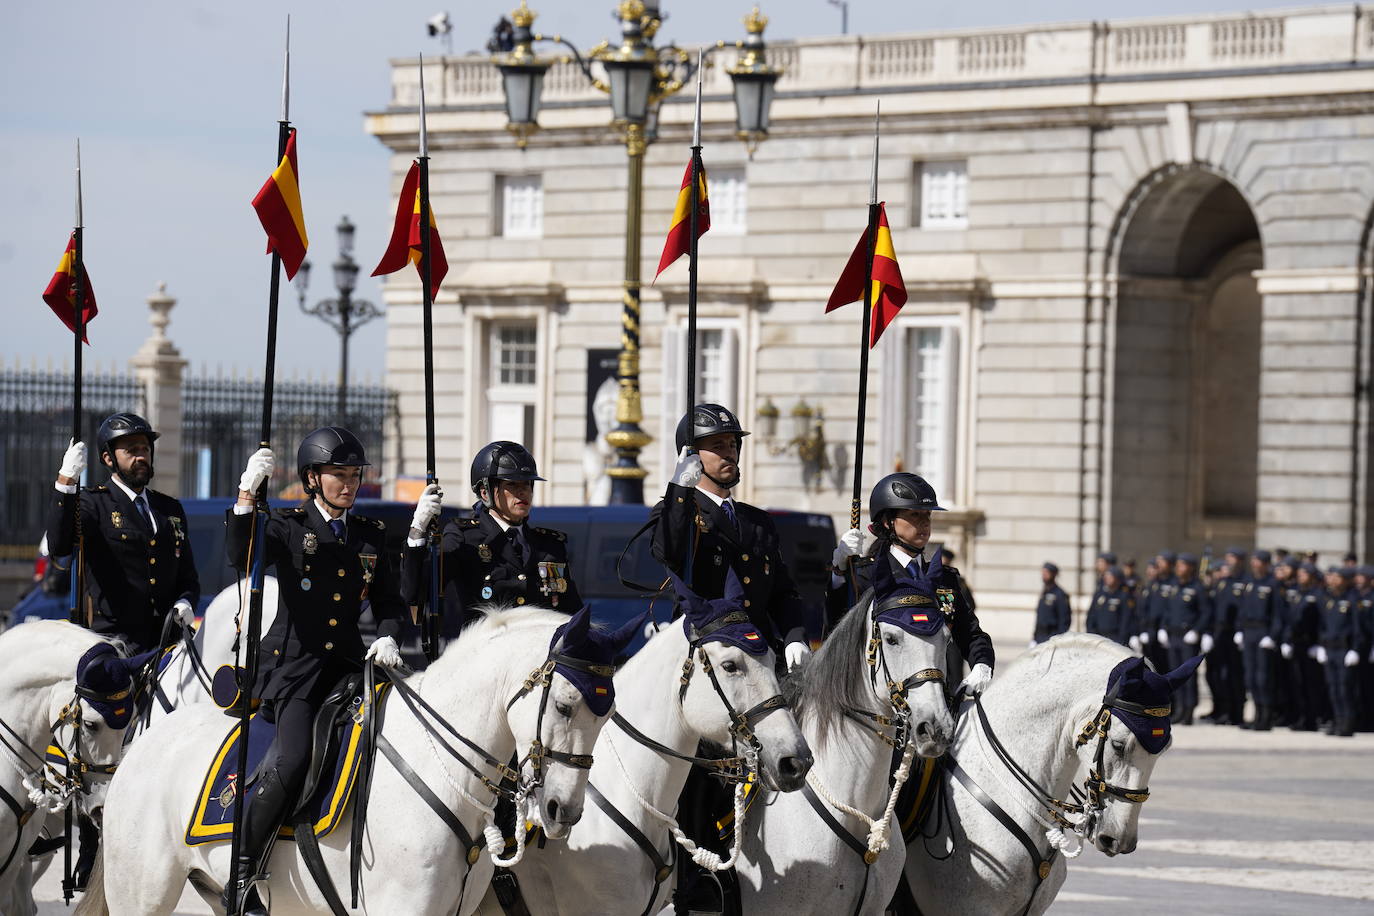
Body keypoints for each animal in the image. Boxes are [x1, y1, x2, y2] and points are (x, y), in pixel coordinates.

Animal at [79, 604, 623, 911]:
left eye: (608, 715)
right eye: (565, 705)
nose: (562, 811)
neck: (440, 771)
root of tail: (140, 745)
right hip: (142, 894)